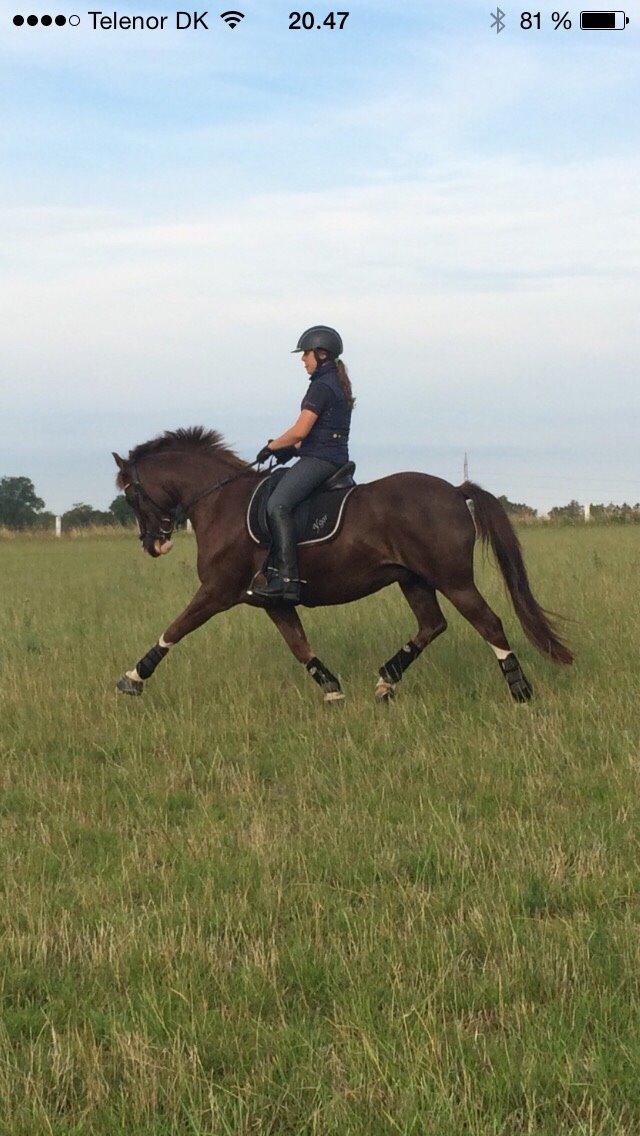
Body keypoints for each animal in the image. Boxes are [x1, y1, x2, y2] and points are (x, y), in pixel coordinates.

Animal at [112, 427, 572, 704]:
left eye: (132, 494)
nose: (153, 544)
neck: (221, 501)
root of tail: (455, 490)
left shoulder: (217, 591)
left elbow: (176, 628)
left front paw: (133, 678)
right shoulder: (272, 601)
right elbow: (300, 647)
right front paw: (332, 691)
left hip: (453, 580)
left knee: (488, 623)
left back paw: (520, 691)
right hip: (414, 580)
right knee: (431, 625)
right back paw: (386, 679)